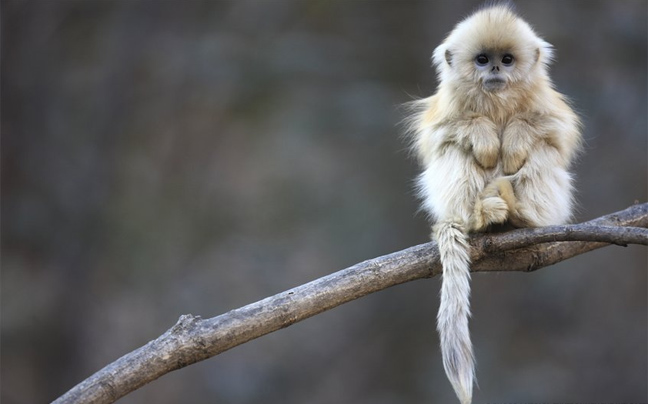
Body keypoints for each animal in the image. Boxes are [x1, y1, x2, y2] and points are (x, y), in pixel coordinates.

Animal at [408, 3, 580, 404]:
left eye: (507, 59)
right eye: (483, 60)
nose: (496, 71)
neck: (497, 102)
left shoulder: (546, 103)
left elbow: (555, 132)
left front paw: (514, 140)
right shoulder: (446, 108)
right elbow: (441, 135)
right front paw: (485, 137)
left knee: (543, 151)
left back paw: (519, 214)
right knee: (454, 150)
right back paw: (482, 217)